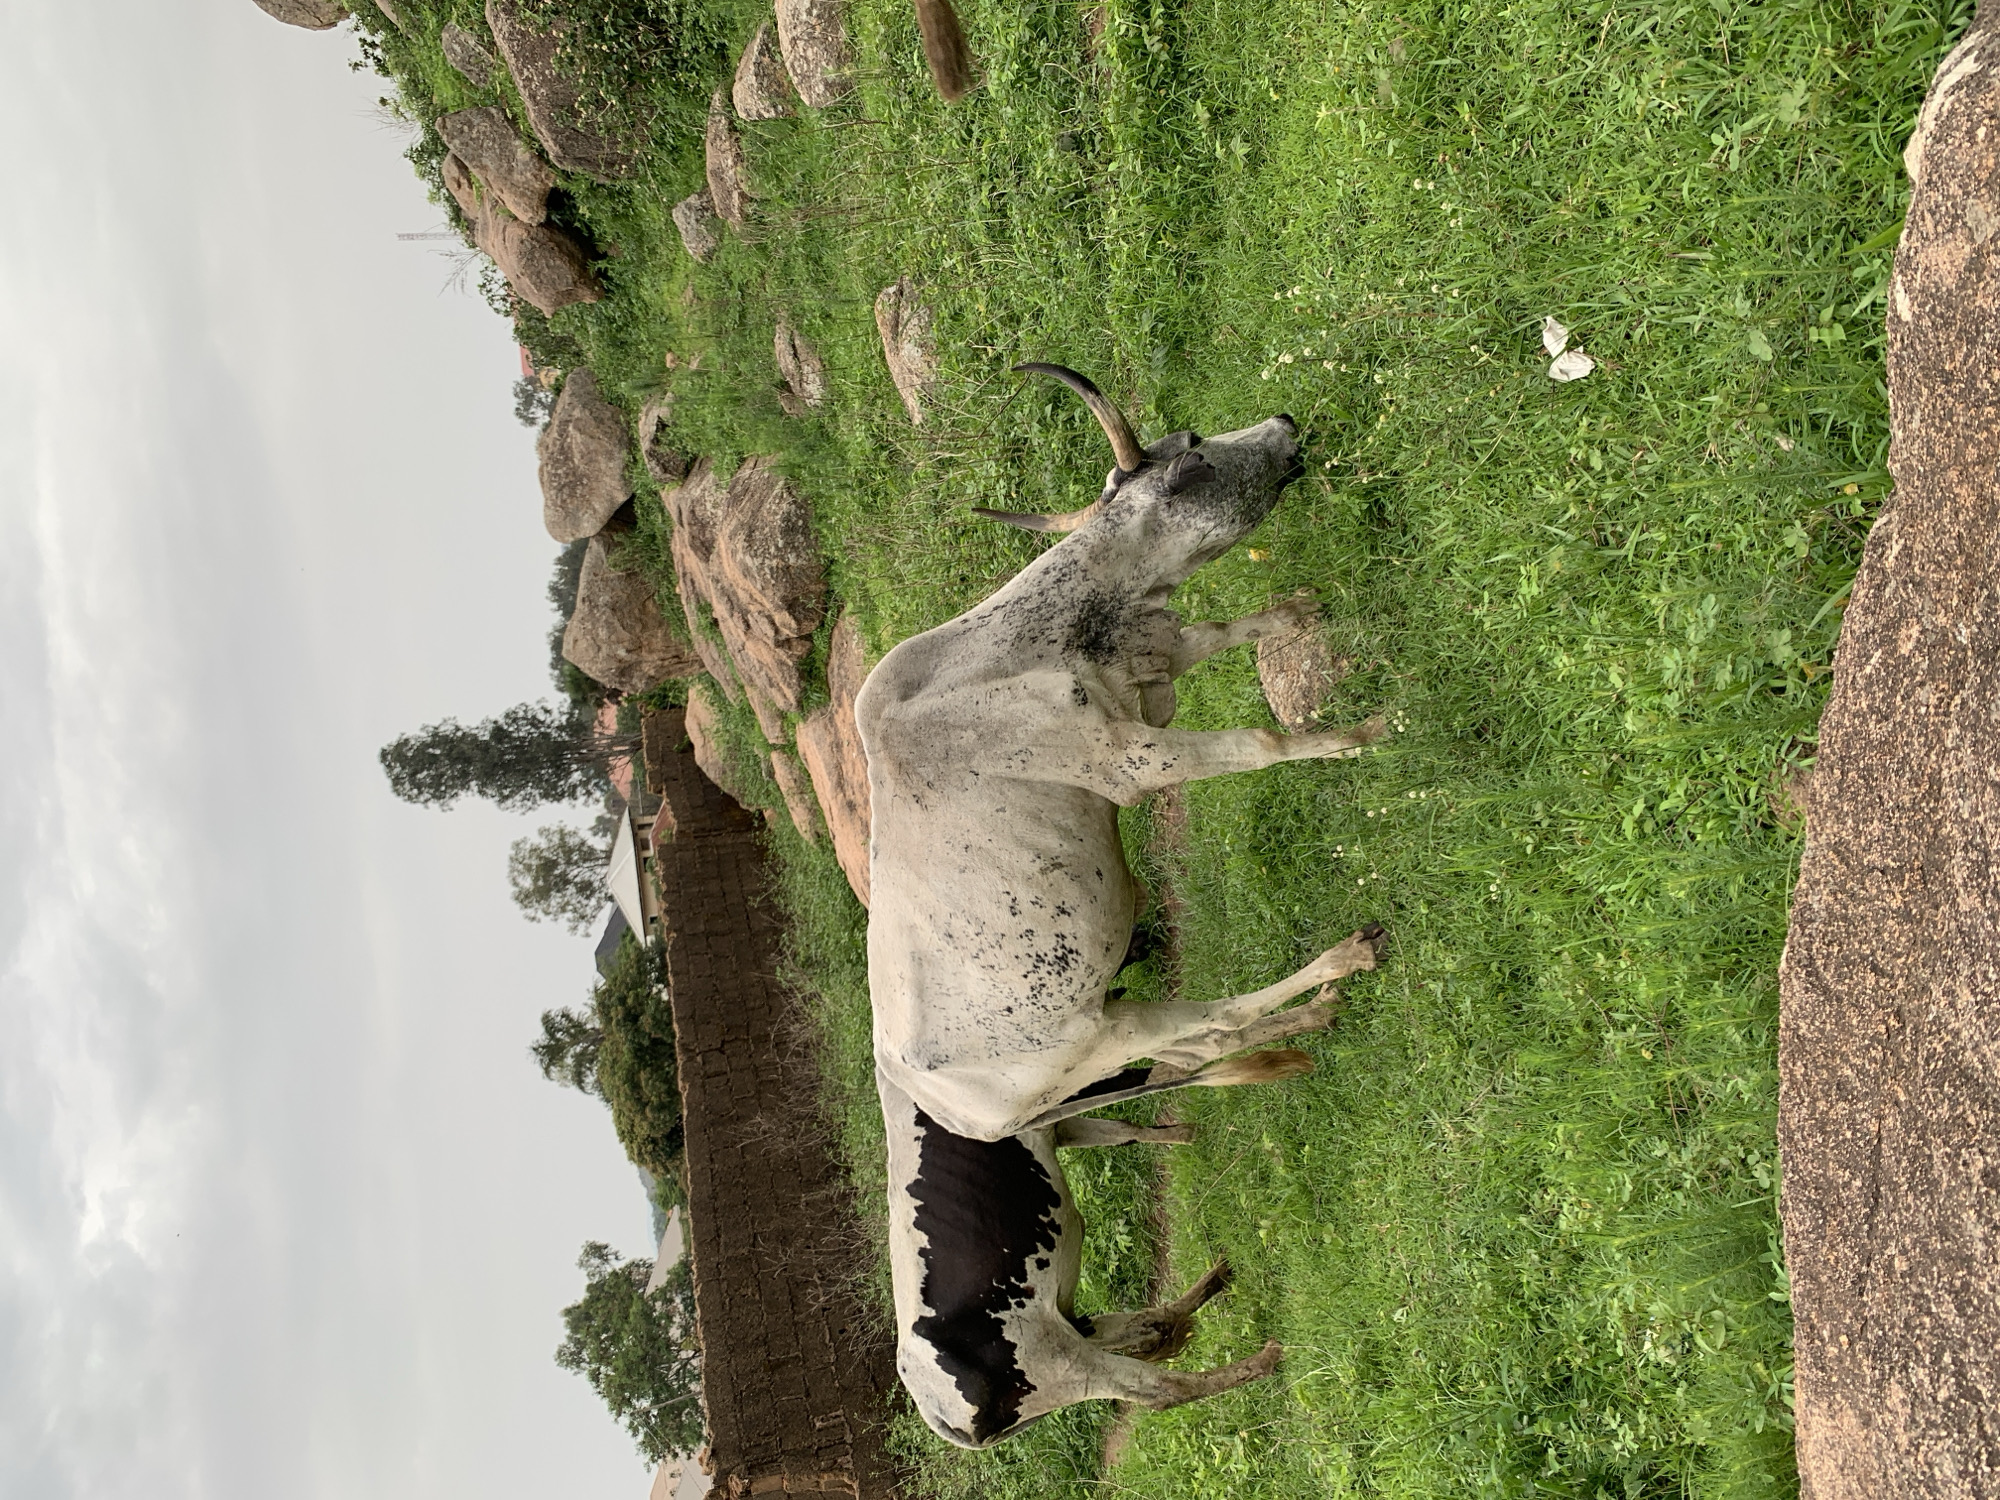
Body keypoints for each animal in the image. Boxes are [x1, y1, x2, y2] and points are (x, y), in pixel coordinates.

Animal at [855, 364, 1387, 1447]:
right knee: (1208, 1026)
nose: (1282, 424)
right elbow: (1265, 746)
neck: (1034, 641)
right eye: (1191, 458)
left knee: (1198, 1049)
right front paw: (1360, 732)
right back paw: (1332, 978)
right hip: (1101, 1040)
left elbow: (1245, 627)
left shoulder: (1160, 657)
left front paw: (1298, 610)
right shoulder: (1134, 762)